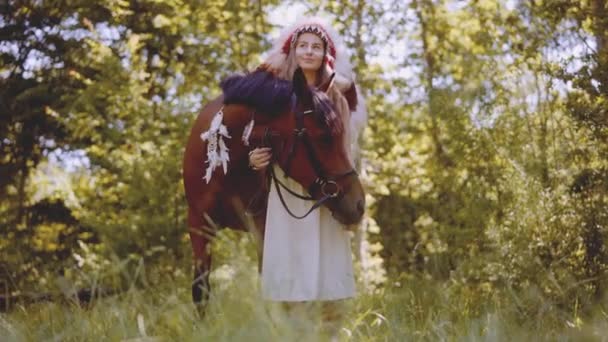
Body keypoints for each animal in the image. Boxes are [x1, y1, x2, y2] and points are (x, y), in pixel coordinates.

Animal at [179, 68, 360, 308]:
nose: (359, 204)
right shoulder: (199, 224)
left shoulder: (262, 226)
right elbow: (201, 290)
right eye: (324, 138)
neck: (226, 169)